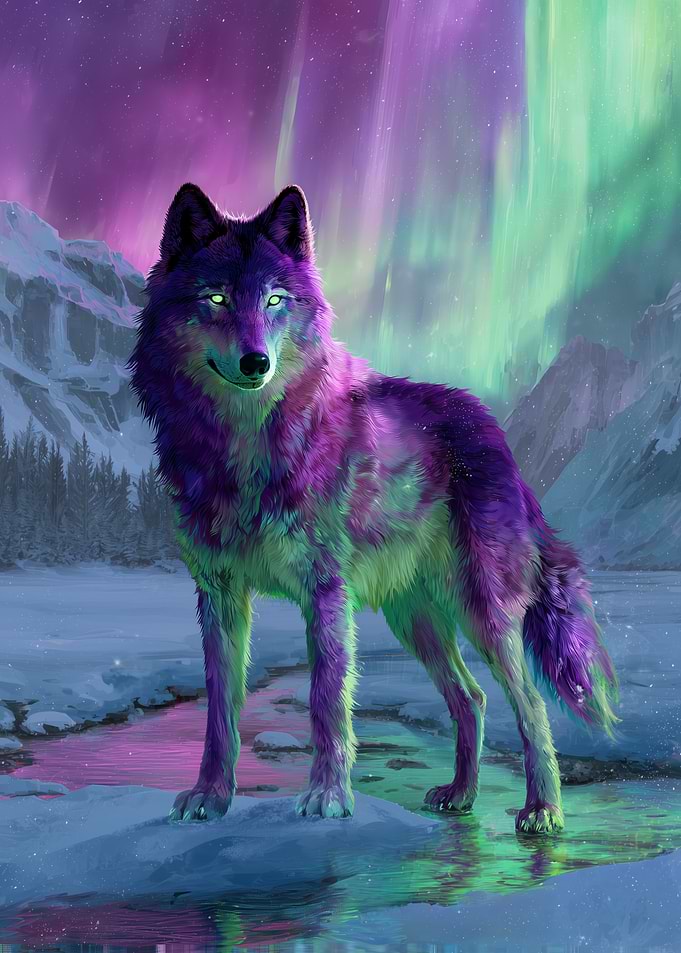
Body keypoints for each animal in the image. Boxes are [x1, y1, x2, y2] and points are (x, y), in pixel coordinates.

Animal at [128, 182, 619, 834]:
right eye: (216, 298)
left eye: (275, 300)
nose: (256, 362)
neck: (245, 444)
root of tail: (495, 430)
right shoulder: (219, 593)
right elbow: (220, 712)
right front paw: (211, 797)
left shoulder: (326, 592)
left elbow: (326, 702)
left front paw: (328, 797)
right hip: (415, 621)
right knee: (472, 698)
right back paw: (461, 795)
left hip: (483, 613)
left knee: (530, 703)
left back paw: (543, 809)